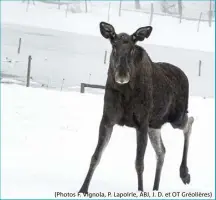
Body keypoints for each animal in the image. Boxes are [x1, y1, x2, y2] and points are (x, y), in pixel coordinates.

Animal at [78, 22, 195, 194]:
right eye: (114, 45)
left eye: (132, 48)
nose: (122, 75)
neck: (126, 92)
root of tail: (185, 75)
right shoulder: (107, 119)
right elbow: (96, 156)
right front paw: (83, 189)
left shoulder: (141, 123)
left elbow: (139, 163)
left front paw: (140, 191)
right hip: (155, 124)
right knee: (162, 151)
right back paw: (155, 188)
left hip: (175, 118)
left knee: (189, 122)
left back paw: (184, 173)